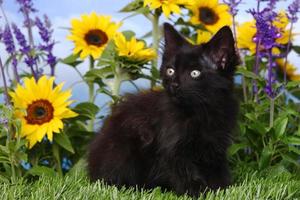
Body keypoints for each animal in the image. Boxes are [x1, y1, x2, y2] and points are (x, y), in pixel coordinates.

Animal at [87, 23, 239, 197]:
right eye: (170, 70)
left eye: (195, 73)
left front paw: (222, 188)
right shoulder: (172, 148)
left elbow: (218, 171)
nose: (174, 85)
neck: (201, 110)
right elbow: (185, 172)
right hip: (122, 149)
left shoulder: (216, 145)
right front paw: (197, 191)